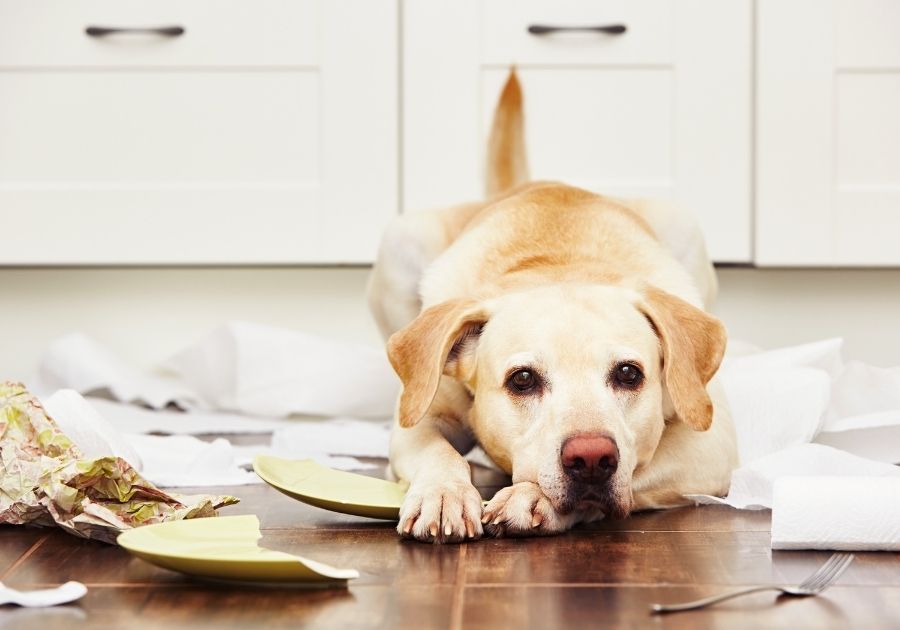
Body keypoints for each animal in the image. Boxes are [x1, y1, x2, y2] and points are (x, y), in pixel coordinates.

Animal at [368, 70, 740, 544]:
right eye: (522, 379)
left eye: (629, 374)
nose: (591, 458)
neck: (557, 264)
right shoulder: (420, 419)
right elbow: (437, 450)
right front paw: (443, 491)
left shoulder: (712, 443)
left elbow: (641, 463)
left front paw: (532, 498)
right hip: (399, 239)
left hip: (682, 222)